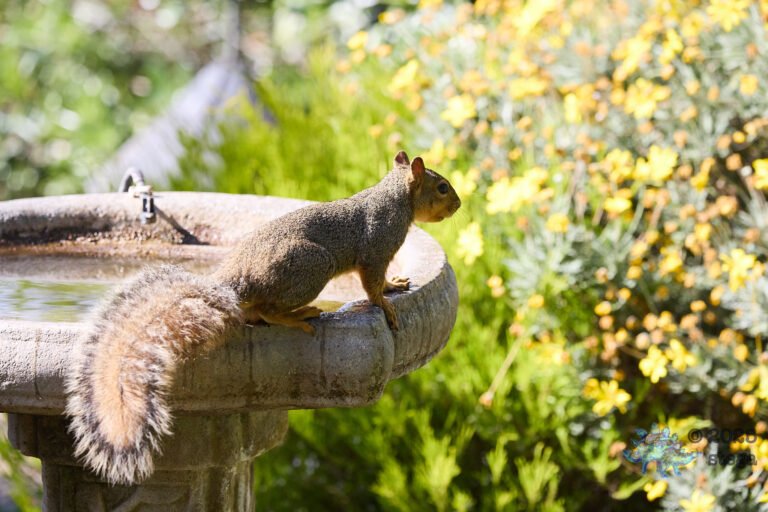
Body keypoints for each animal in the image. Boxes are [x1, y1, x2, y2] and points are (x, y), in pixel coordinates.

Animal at [65, 150, 461, 485]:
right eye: (442, 187)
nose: (458, 204)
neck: (394, 198)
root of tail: (235, 282)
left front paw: (396, 284)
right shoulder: (375, 250)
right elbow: (372, 286)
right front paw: (386, 303)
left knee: (256, 313)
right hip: (312, 266)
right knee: (269, 311)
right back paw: (299, 317)